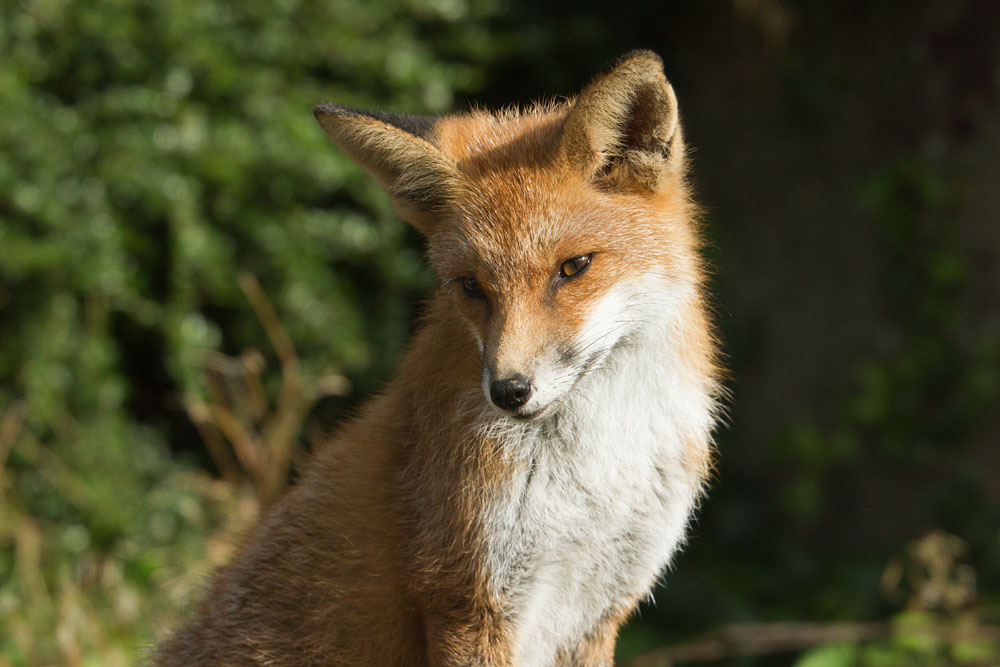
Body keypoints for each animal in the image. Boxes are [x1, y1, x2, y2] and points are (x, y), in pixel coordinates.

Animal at [154, 50, 721, 666]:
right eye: (472, 286)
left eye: (574, 267)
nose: (508, 391)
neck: (599, 464)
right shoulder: (468, 599)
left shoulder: (602, 605)